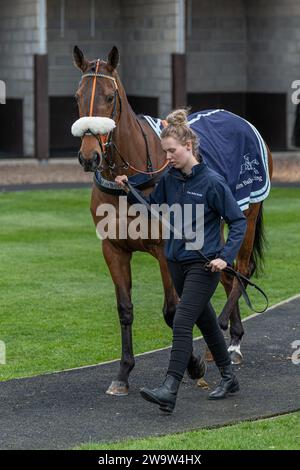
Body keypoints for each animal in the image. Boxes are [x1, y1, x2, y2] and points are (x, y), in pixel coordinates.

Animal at [71, 46, 274, 394]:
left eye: (110, 97)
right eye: (78, 97)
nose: (89, 157)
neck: (131, 180)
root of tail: (241, 120)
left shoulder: (166, 249)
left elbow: (172, 310)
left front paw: (191, 363)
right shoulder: (113, 249)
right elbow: (125, 309)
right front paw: (123, 372)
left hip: (248, 212)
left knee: (242, 269)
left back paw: (226, 339)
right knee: (226, 273)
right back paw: (228, 340)